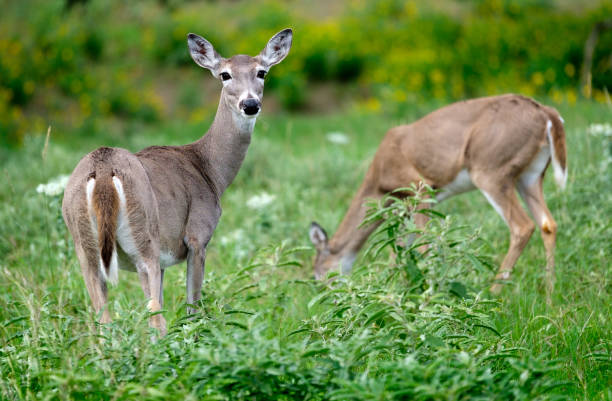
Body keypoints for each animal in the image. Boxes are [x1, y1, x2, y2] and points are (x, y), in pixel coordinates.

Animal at [62, 28, 292, 334]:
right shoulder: (197, 236)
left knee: (103, 320)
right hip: (143, 238)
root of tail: (102, 171)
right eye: (225, 74)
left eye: (262, 72)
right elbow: (192, 309)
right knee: (154, 318)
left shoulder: (162, 260)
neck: (210, 171)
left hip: (85, 248)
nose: (251, 104)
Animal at [310, 94, 568, 296]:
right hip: (531, 175)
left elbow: (424, 243)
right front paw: (395, 289)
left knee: (522, 226)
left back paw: (493, 294)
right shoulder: (411, 204)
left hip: (491, 170)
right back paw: (549, 296)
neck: (378, 181)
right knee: (548, 223)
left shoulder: (421, 187)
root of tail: (547, 114)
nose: (328, 296)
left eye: (316, 275)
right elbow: (401, 248)